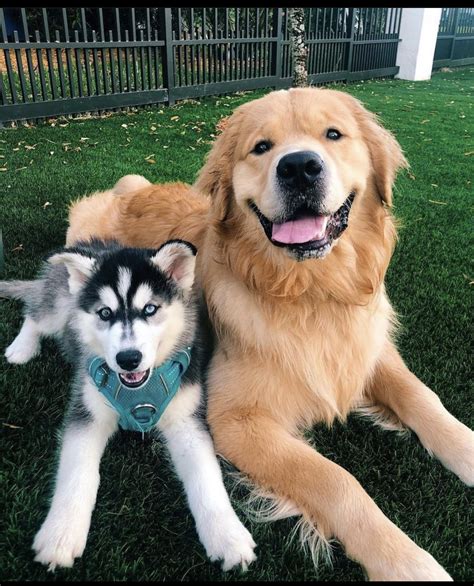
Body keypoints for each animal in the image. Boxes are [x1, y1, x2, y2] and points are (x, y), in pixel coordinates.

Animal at [0, 237, 256, 572]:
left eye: (150, 309)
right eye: (105, 313)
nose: (128, 358)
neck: (139, 389)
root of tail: (98, 243)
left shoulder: (186, 418)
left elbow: (205, 474)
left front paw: (228, 537)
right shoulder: (87, 412)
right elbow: (77, 473)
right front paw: (60, 535)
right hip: (60, 304)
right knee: (36, 313)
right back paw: (22, 347)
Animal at [65, 89, 470, 576]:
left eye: (333, 134)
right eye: (261, 147)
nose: (299, 167)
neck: (310, 293)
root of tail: (133, 191)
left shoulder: (368, 350)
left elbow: (424, 398)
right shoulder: (236, 420)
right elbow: (336, 479)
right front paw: (405, 560)